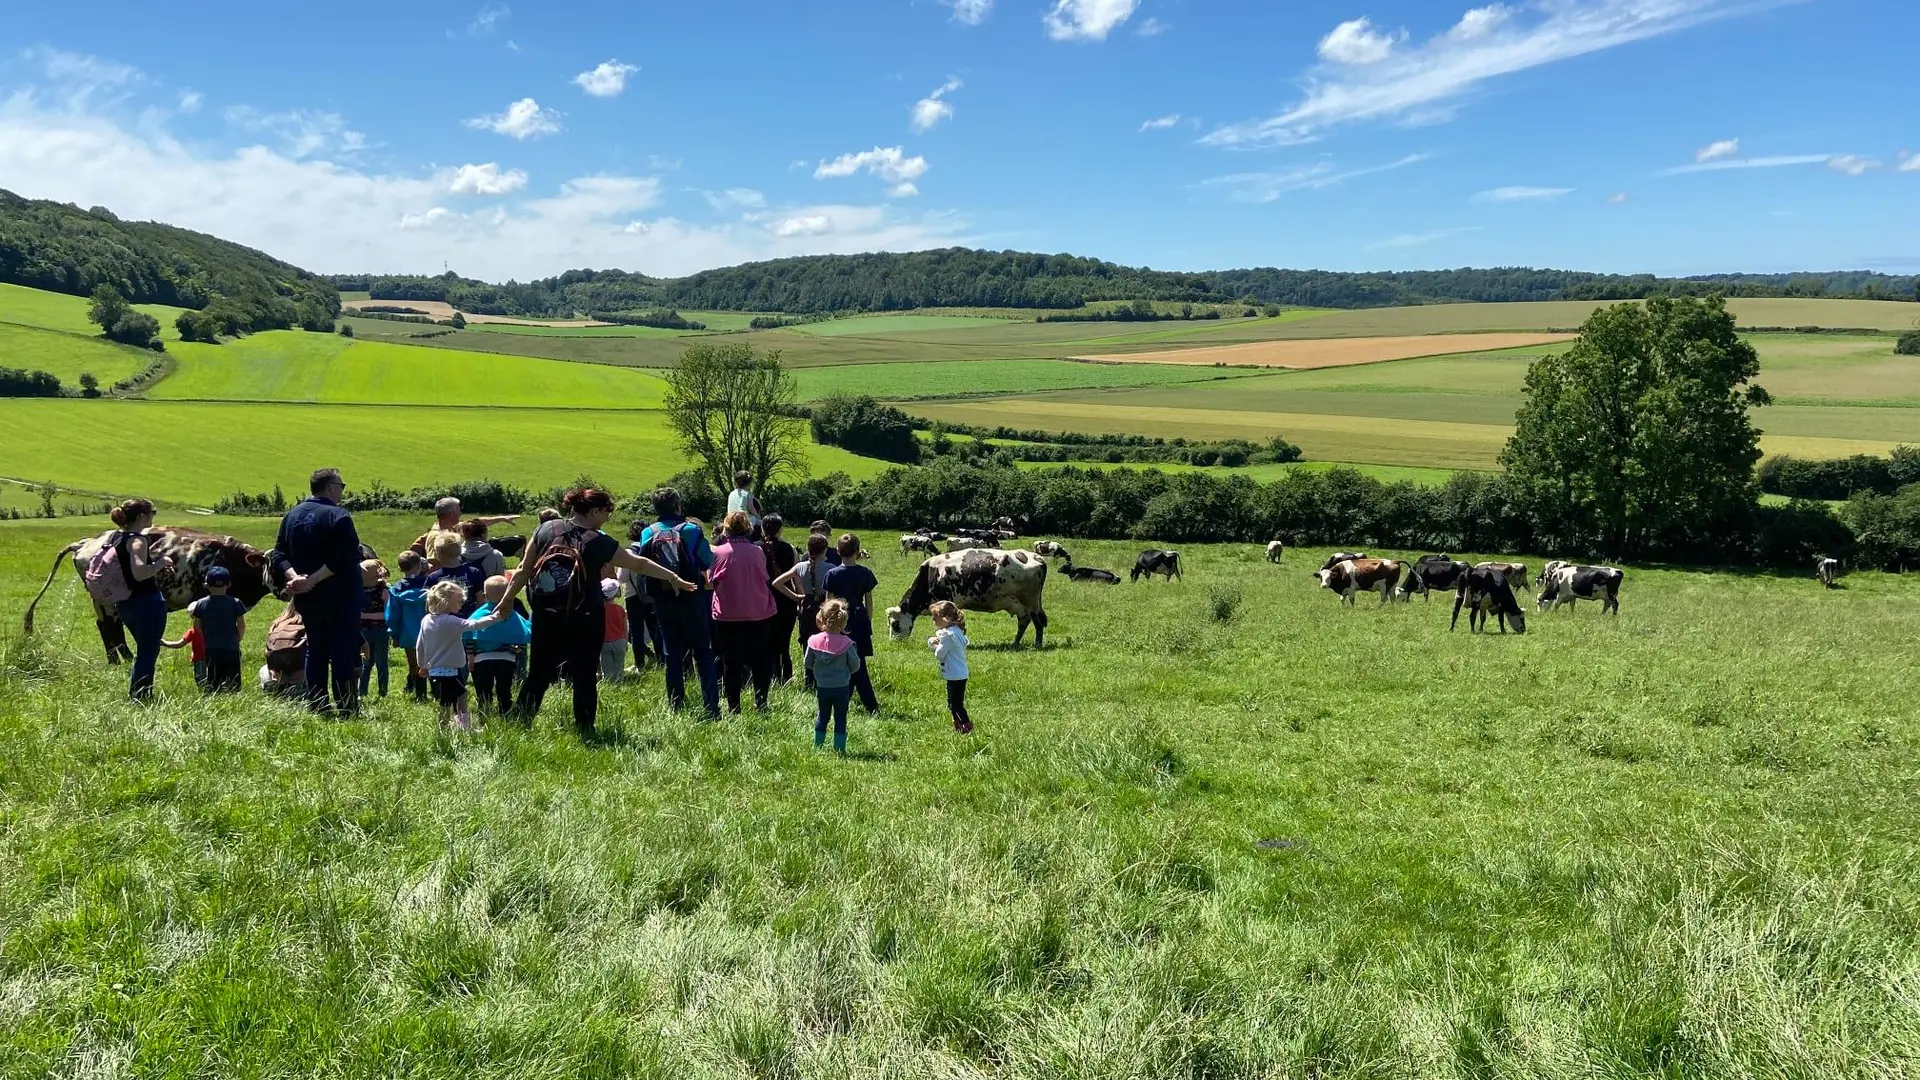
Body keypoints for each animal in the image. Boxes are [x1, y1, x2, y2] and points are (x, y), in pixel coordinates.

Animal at [24, 522, 280, 657]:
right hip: (106, 600)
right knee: (109, 625)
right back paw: (124, 658)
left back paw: (118, 659)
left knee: (106, 626)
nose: (287, 590)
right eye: (275, 566)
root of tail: (87, 542)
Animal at [883, 549, 1052, 641]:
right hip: (1020, 605)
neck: (930, 574)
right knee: (1024, 622)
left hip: (1031, 602)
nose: (894, 642)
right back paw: (1014, 643)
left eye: (895, 624)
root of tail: (1036, 556)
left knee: (1038, 622)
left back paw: (1037, 644)